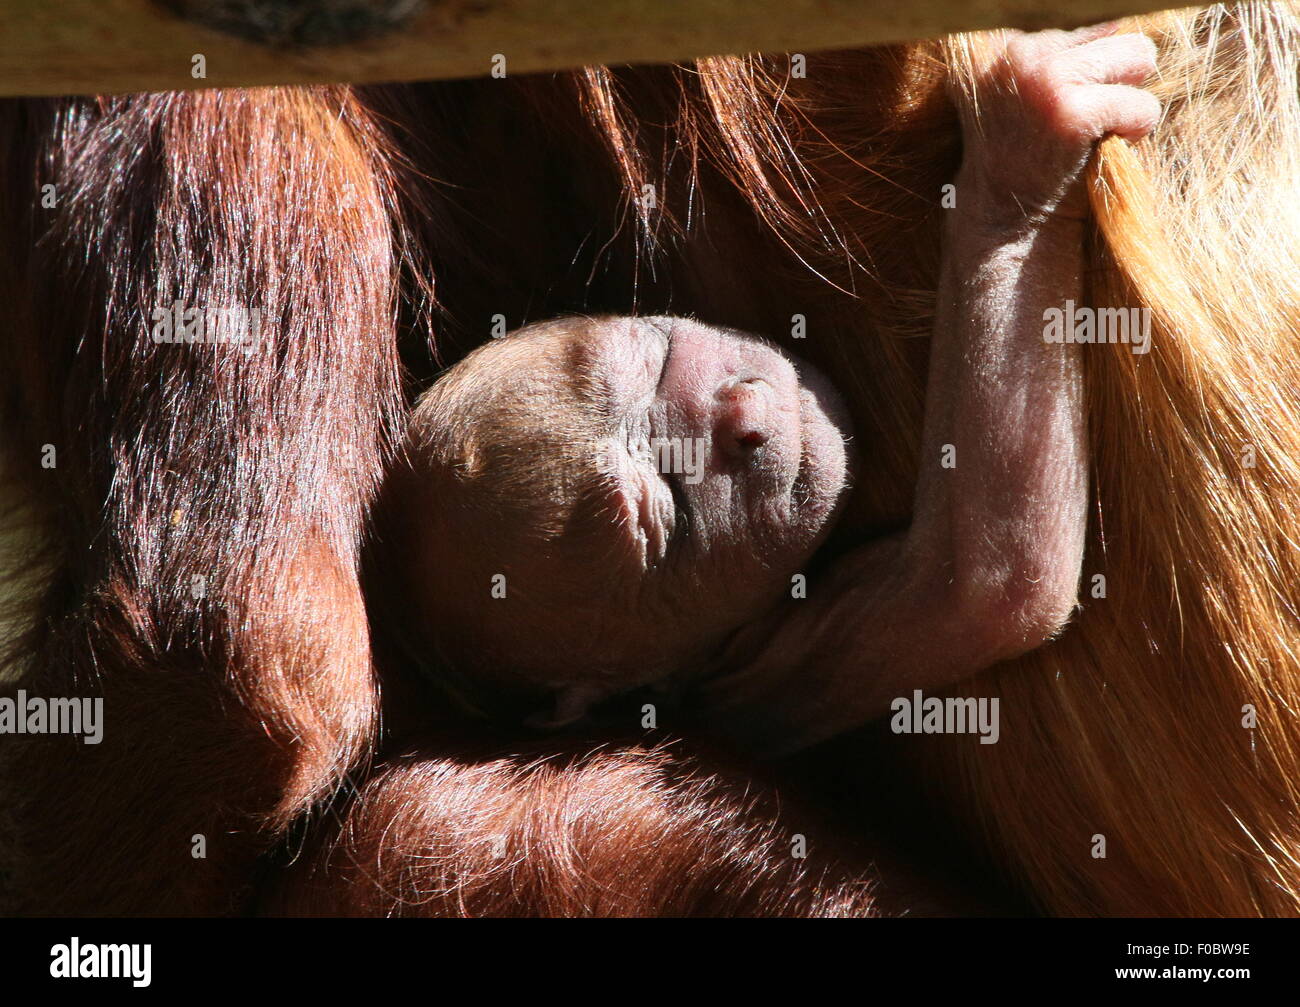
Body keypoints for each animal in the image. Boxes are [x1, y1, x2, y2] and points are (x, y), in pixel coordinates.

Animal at [377, 23, 1159, 753]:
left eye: (659, 356)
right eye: (672, 513)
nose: (744, 415)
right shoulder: (758, 667)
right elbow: (989, 580)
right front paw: (1018, 173)